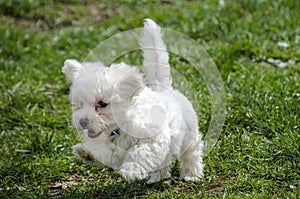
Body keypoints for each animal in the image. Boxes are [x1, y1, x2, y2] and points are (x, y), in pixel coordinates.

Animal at [62, 19, 205, 183]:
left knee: (191, 152)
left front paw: (130, 170)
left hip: (189, 134)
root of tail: (163, 89)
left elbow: (140, 152)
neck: (119, 128)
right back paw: (157, 177)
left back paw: (192, 173)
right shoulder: (111, 148)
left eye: (102, 104)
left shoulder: (153, 138)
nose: (83, 121)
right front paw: (86, 152)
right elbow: (103, 151)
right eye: (78, 105)